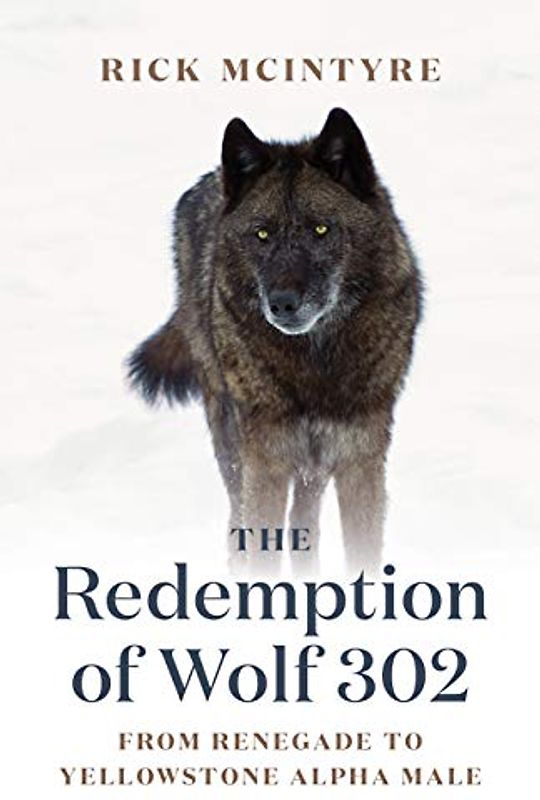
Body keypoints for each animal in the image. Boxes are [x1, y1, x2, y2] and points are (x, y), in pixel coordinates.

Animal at [128, 108, 422, 574]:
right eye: (262, 234)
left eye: (321, 229)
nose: (282, 303)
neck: (316, 364)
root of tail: (211, 178)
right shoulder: (265, 463)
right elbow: (261, 547)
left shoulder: (360, 461)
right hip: (232, 440)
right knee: (239, 520)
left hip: (312, 468)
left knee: (306, 521)